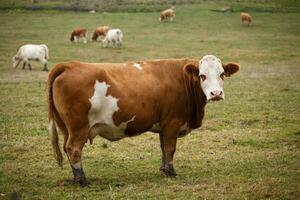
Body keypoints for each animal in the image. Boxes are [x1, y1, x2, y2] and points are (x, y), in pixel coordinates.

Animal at [47, 54, 239, 186]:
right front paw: (171, 172)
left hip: (66, 127)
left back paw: (75, 178)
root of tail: (69, 65)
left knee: (67, 148)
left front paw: (164, 170)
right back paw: (82, 180)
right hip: (78, 127)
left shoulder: (163, 125)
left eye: (222, 74)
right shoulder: (172, 123)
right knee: (74, 149)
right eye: (202, 75)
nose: (216, 93)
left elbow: (163, 148)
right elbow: (170, 148)